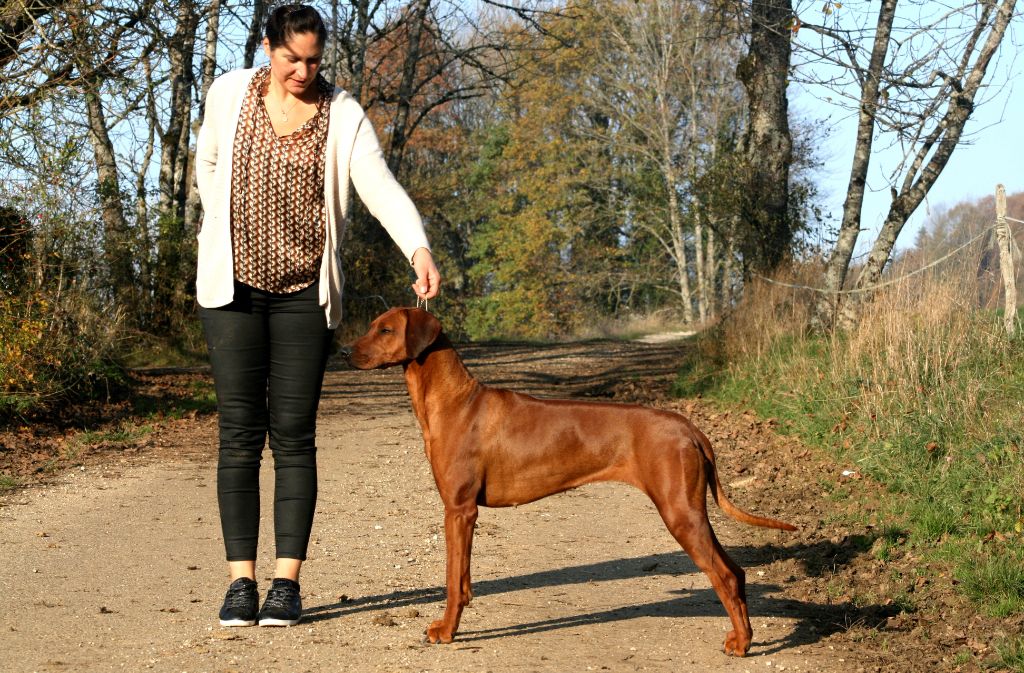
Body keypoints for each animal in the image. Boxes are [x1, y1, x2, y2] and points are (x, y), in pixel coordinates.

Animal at [348, 309, 794, 655]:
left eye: (385, 330)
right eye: (371, 326)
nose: (344, 351)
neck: (456, 400)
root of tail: (689, 427)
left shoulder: (459, 510)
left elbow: (453, 582)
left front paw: (446, 631)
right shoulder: (464, 514)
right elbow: (465, 580)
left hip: (679, 512)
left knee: (723, 575)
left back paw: (742, 643)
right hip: (690, 510)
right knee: (736, 572)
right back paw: (743, 635)